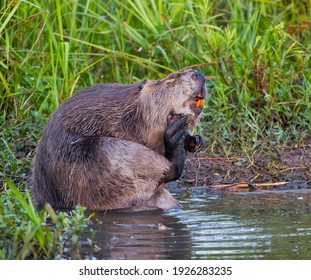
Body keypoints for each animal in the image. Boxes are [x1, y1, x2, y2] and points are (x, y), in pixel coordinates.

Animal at [31, 69, 207, 210]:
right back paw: (174, 134)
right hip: (103, 152)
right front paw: (178, 128)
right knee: (169, 169)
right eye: (174, 76)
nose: (199, 75)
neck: (133, 108)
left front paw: (194, 140)